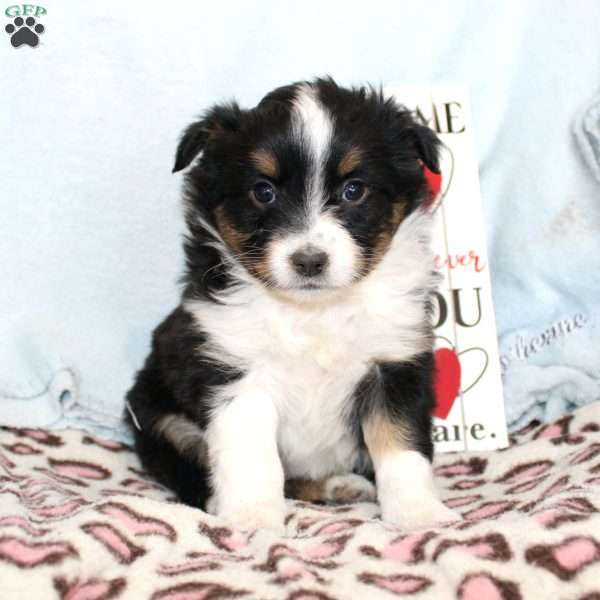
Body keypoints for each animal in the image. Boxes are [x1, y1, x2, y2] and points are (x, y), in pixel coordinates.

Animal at [124, 77, 458, 532]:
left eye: (354, 190)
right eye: (263, 191)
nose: (309, 261)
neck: (314, 311)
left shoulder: (394, 363)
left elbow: (401, 445)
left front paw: (418, 513)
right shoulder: (235, 370)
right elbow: (251, 456)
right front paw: (251, 518)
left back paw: (341, 485)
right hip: (159, 418)